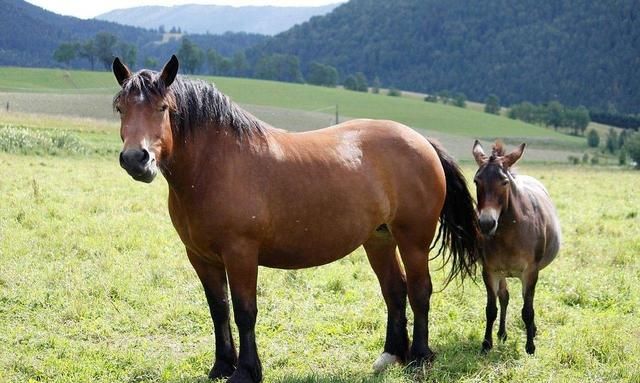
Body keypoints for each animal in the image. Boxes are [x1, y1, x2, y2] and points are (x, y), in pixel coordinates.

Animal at [112, 54, 480, 383]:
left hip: (413, 239)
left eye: (163, 108)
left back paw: (419, 359)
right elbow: (219, 310)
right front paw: (221, 367)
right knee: (395, 289)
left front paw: (246, 372)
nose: (136, 159)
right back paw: (390, 356)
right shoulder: (201, 257)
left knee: (419, 290)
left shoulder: (240, 254)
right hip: (379, 239)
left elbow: (245, 311)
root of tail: (422, 141)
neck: (215, 166)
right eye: (121, 108)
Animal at [470, 141, 560, 356]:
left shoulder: (530, 272)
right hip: (503, 273)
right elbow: (491, 309)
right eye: (476, 181)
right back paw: (502, 333)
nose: (486, 224)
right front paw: (486, 344)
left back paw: (531, 331)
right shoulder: (490, 271)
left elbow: (528, 310)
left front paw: (530, 347)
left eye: (504, 182)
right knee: (504, 297)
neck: (508, 233)